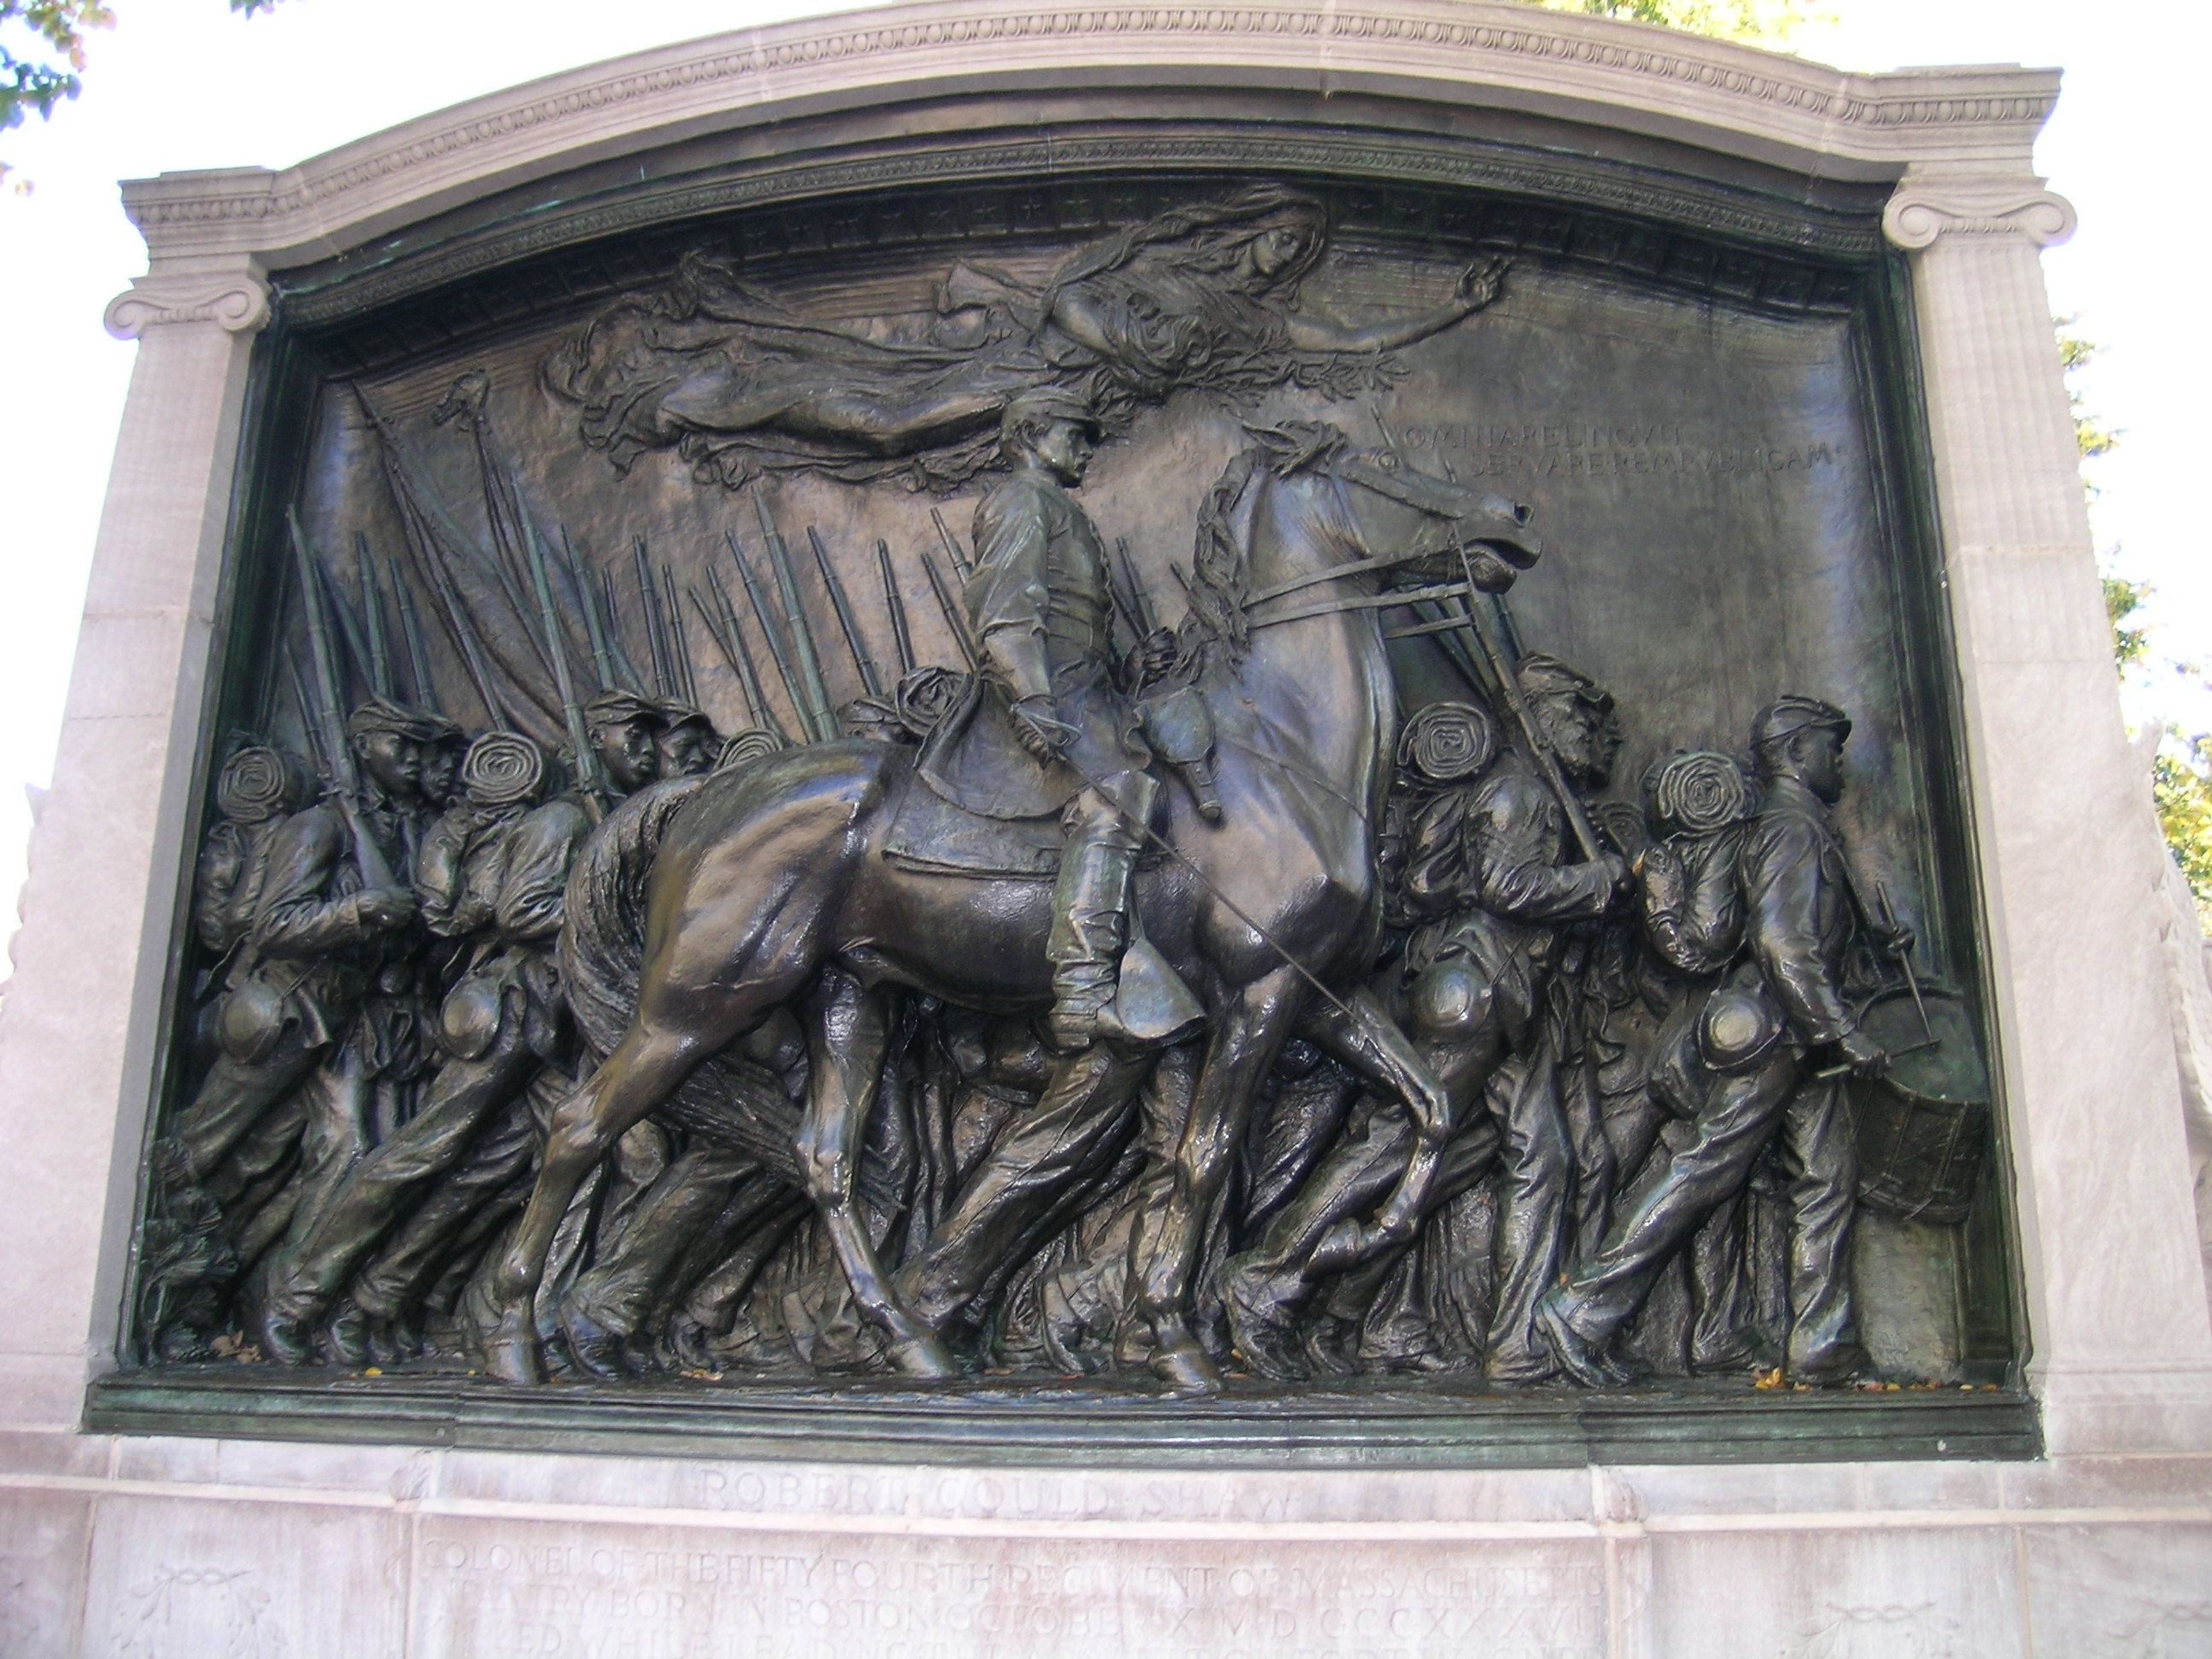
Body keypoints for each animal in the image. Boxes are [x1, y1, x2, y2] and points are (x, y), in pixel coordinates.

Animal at [488, 425, 1539, 1389]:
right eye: (1384, 465)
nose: (1514, 520)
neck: (1278, 750)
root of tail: (706, 795)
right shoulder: (1258, 997)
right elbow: (1205, 1159)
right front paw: (1175, 1338)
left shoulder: (1320, 992)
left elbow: (1430, 1104)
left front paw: (1363, 1237)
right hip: (703, 997)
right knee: (581, 1126)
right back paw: (516, 1339)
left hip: (847, 996)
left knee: (826, 1162)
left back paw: (908, 1341)